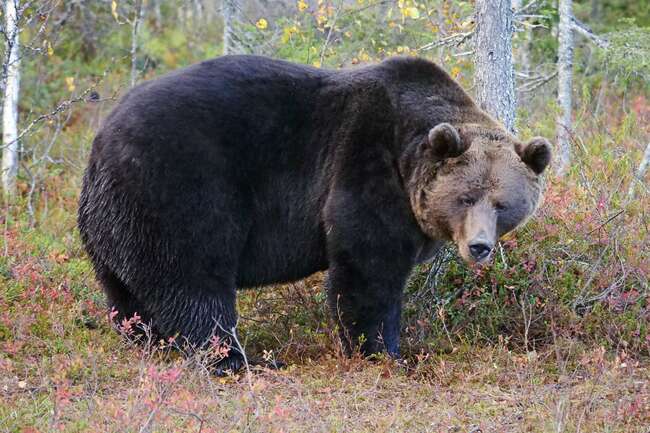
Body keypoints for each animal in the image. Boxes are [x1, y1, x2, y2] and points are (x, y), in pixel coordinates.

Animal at [78, 54, 548, 372]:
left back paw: (151, 344)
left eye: (503, 203)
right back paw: (238, 360)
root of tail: (100, 141)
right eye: (466, 197)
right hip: (177, 188)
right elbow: (366, 269)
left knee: (127, 293)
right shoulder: (365, 165)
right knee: (194, 280)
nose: (480, 246)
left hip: (115, 221)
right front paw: (384, 352)